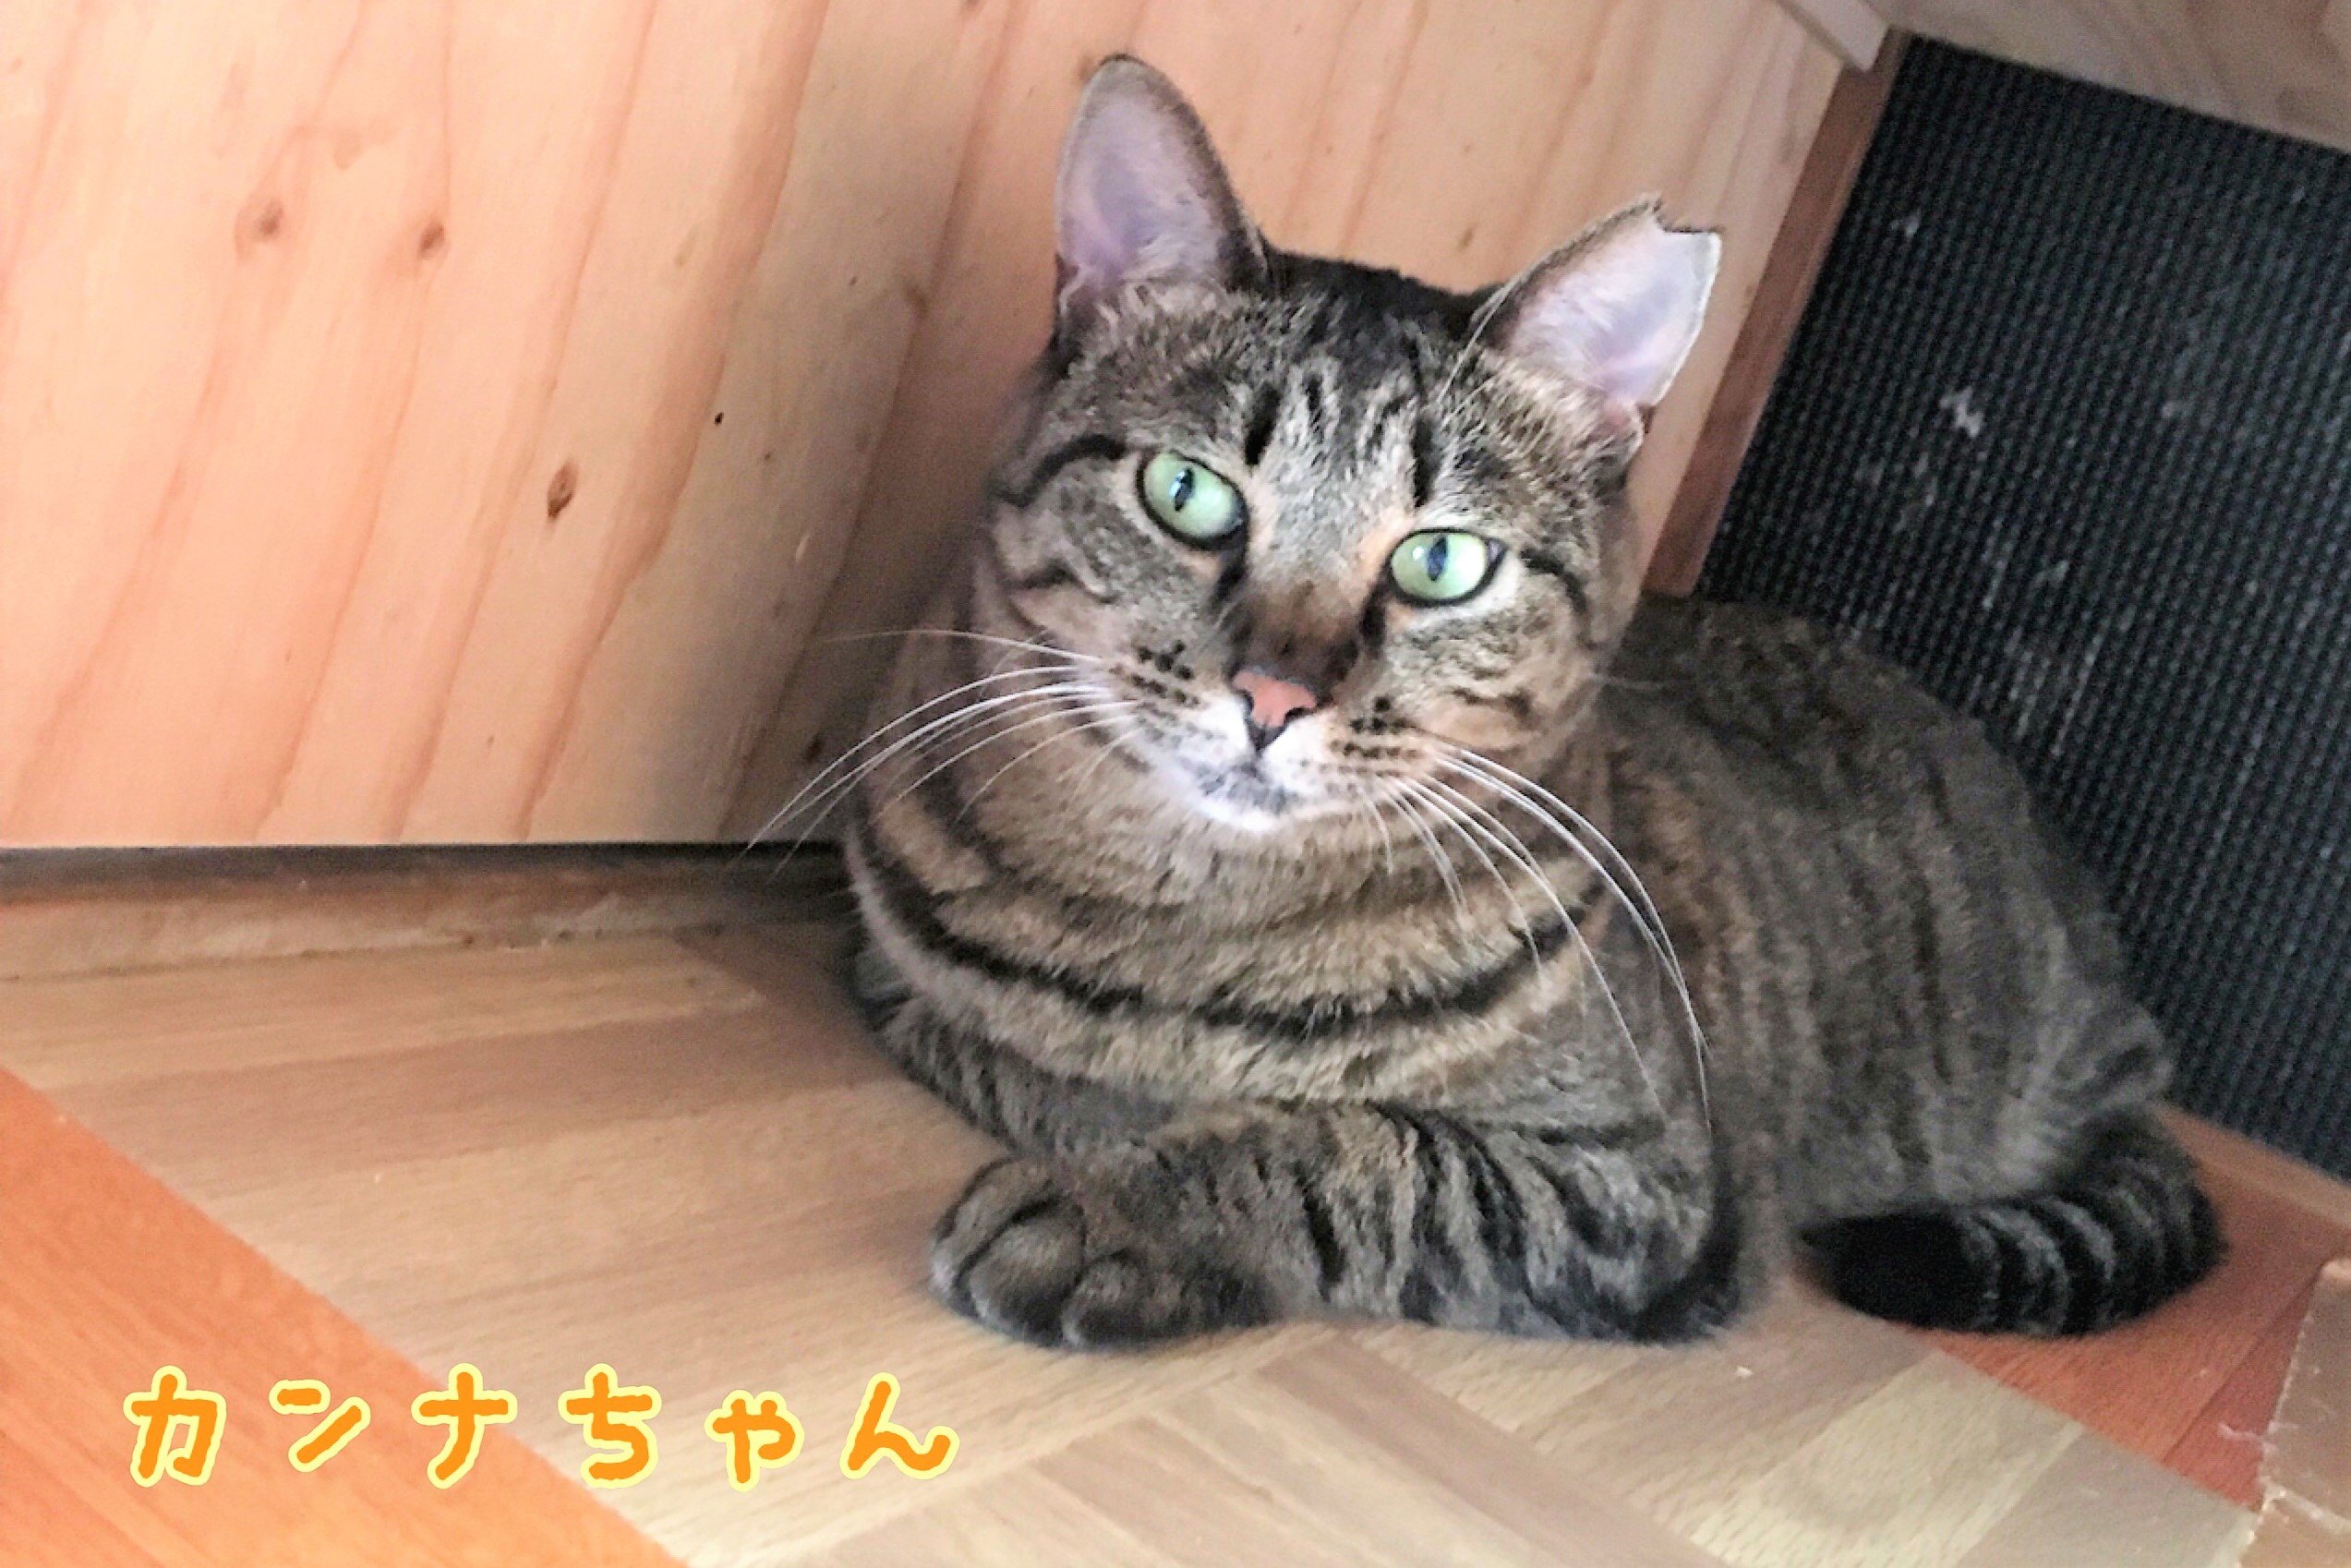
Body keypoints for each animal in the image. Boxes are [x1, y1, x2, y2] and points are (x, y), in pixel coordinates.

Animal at [831, 56, 2222, 1348]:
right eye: (1189, 493)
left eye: (1441, 561)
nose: (1272, 695)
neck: (1197, 922)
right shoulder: (888, 966)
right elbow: (1007, 1047)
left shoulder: (1639, 1186)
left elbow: (1359, 1157)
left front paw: (1111, 1210)